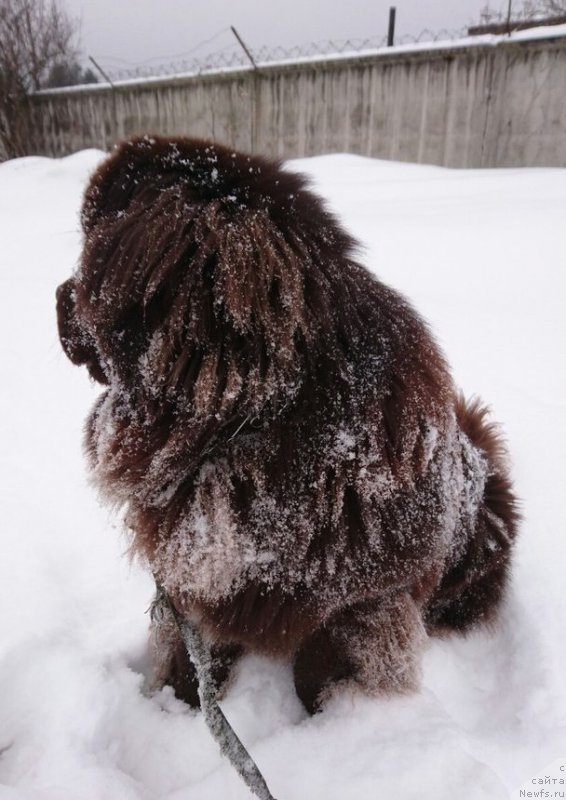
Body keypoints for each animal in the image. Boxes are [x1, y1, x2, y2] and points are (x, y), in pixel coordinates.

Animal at [56, 136, 520, 712]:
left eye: (88, 261)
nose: (57, 297)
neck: (243, 429)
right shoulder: (194, 580)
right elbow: (194, 656)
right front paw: (178, 706)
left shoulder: (361, 599)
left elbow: (317, 669)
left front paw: (334, 719)